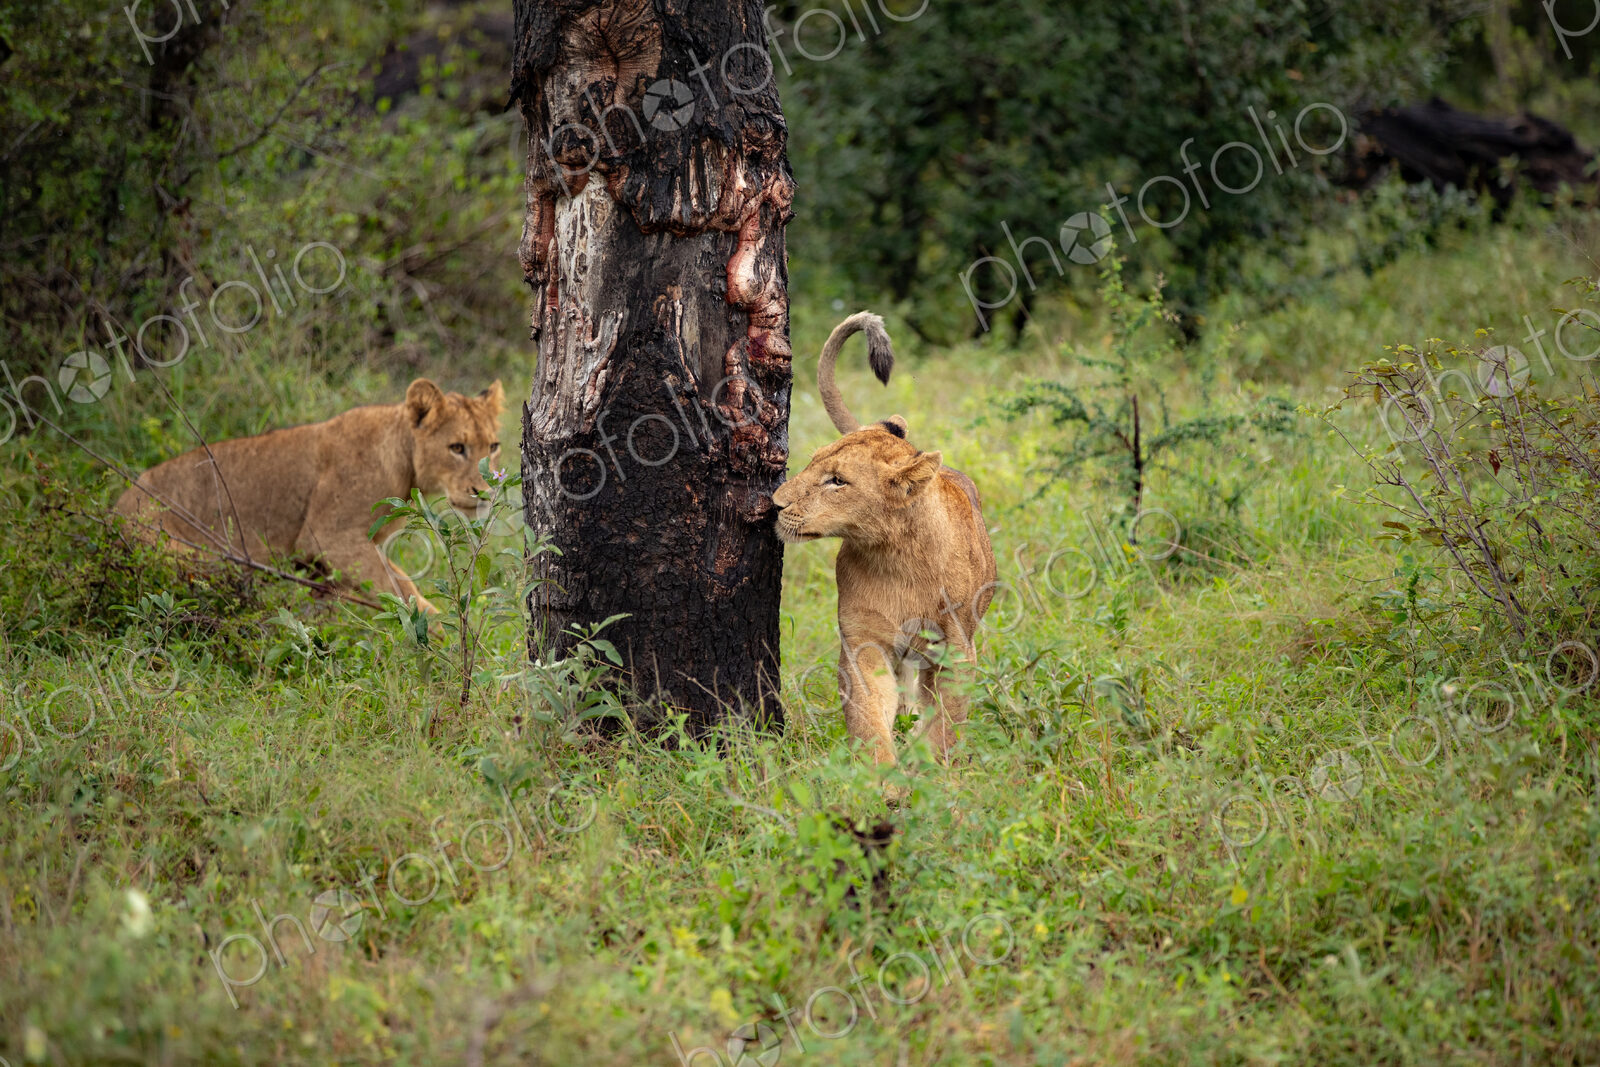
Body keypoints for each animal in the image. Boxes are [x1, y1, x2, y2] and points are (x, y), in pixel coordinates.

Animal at [114, 378, 504, 614]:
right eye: (457, 448)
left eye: (493, 446)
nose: (485, 492)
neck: (402, 461)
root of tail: (116, 505)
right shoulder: (326, 538)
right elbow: (399, 587)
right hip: (192, 556)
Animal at [772, 312, 997, 774]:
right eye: (813, 461)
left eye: (838, 481)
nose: (774, 502)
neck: (897, 556)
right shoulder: (863, 643)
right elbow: (870, 716)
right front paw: (883, 779)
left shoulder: (955, 652)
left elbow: (945, 724)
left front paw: (930, 773)